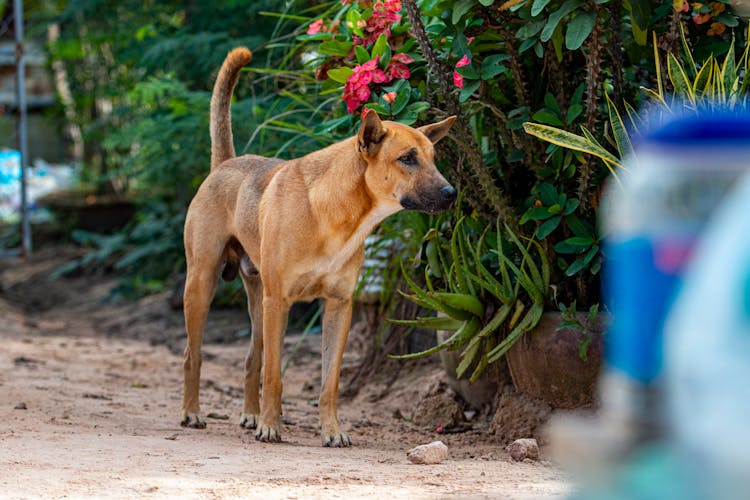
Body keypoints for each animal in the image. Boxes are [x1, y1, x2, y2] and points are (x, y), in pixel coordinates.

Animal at [182, 46, 458, 446]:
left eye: (434, 159)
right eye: (407, 158)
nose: (452, 193)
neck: (338, 213)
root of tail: (227, 163)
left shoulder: (339, 307)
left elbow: (330, 382)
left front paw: (331, 431)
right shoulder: (279, 302)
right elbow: (275, 376)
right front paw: (271, 426)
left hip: (258, 301)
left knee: (252, 359)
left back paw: (250, 414)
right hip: (204, 286)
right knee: (194, 354)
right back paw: (193, 412)